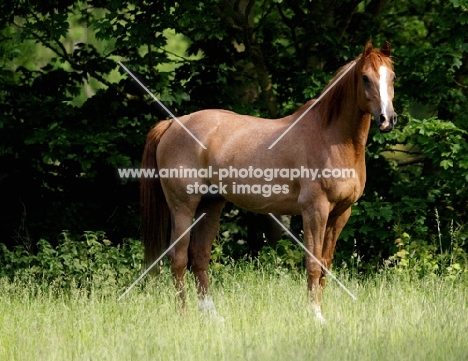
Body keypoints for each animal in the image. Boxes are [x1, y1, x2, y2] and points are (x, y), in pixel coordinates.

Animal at [141, 40, 396, 322]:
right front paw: (315, 315)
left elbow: (325, 265)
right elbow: (313, 263)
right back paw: (184, 315)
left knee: (199, 257)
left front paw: (320, 312)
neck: (332, 138)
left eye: (392, 77)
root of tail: (172, 125)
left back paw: (212, 316)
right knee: (178, 258)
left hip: (210, 206)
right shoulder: (315, 211)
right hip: (183, 207)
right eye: (365, 78)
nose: (387, 119)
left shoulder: (341, 213)